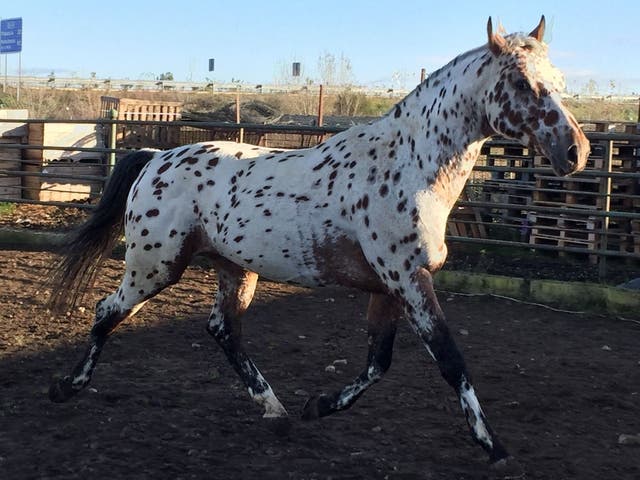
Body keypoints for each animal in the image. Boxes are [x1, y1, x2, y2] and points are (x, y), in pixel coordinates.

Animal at [47, 16, 589, 475]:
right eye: (522, 83)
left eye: (560, 81)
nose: (576, 152)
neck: (409, 167)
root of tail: (155, 157)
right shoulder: (408, 280)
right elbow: (449, 359)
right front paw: (494, 447)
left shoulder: (388, 288)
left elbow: (379, 362)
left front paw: (318, 406)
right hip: (154, 266)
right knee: (107, 311)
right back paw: (66, 387)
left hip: (234, 268)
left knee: (223, 329)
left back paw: (276, 410)